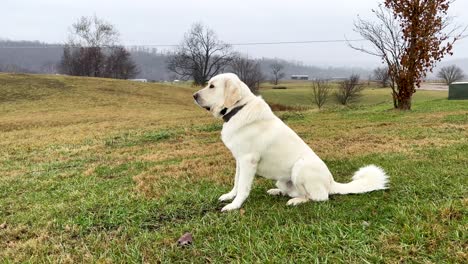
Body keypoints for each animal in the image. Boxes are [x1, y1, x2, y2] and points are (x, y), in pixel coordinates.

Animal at [192, 72, 390, 212]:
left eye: (211, 86)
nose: (194, 95)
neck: (238, 108)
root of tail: (332, 183)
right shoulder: (239, 160)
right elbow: (236, 182)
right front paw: (229, 196)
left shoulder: (248, 161)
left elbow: (243, 187)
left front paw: (234, 205)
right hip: (282, 179)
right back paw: (277, 192)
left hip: (301, 167)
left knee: (318, 197)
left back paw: (295, 201)